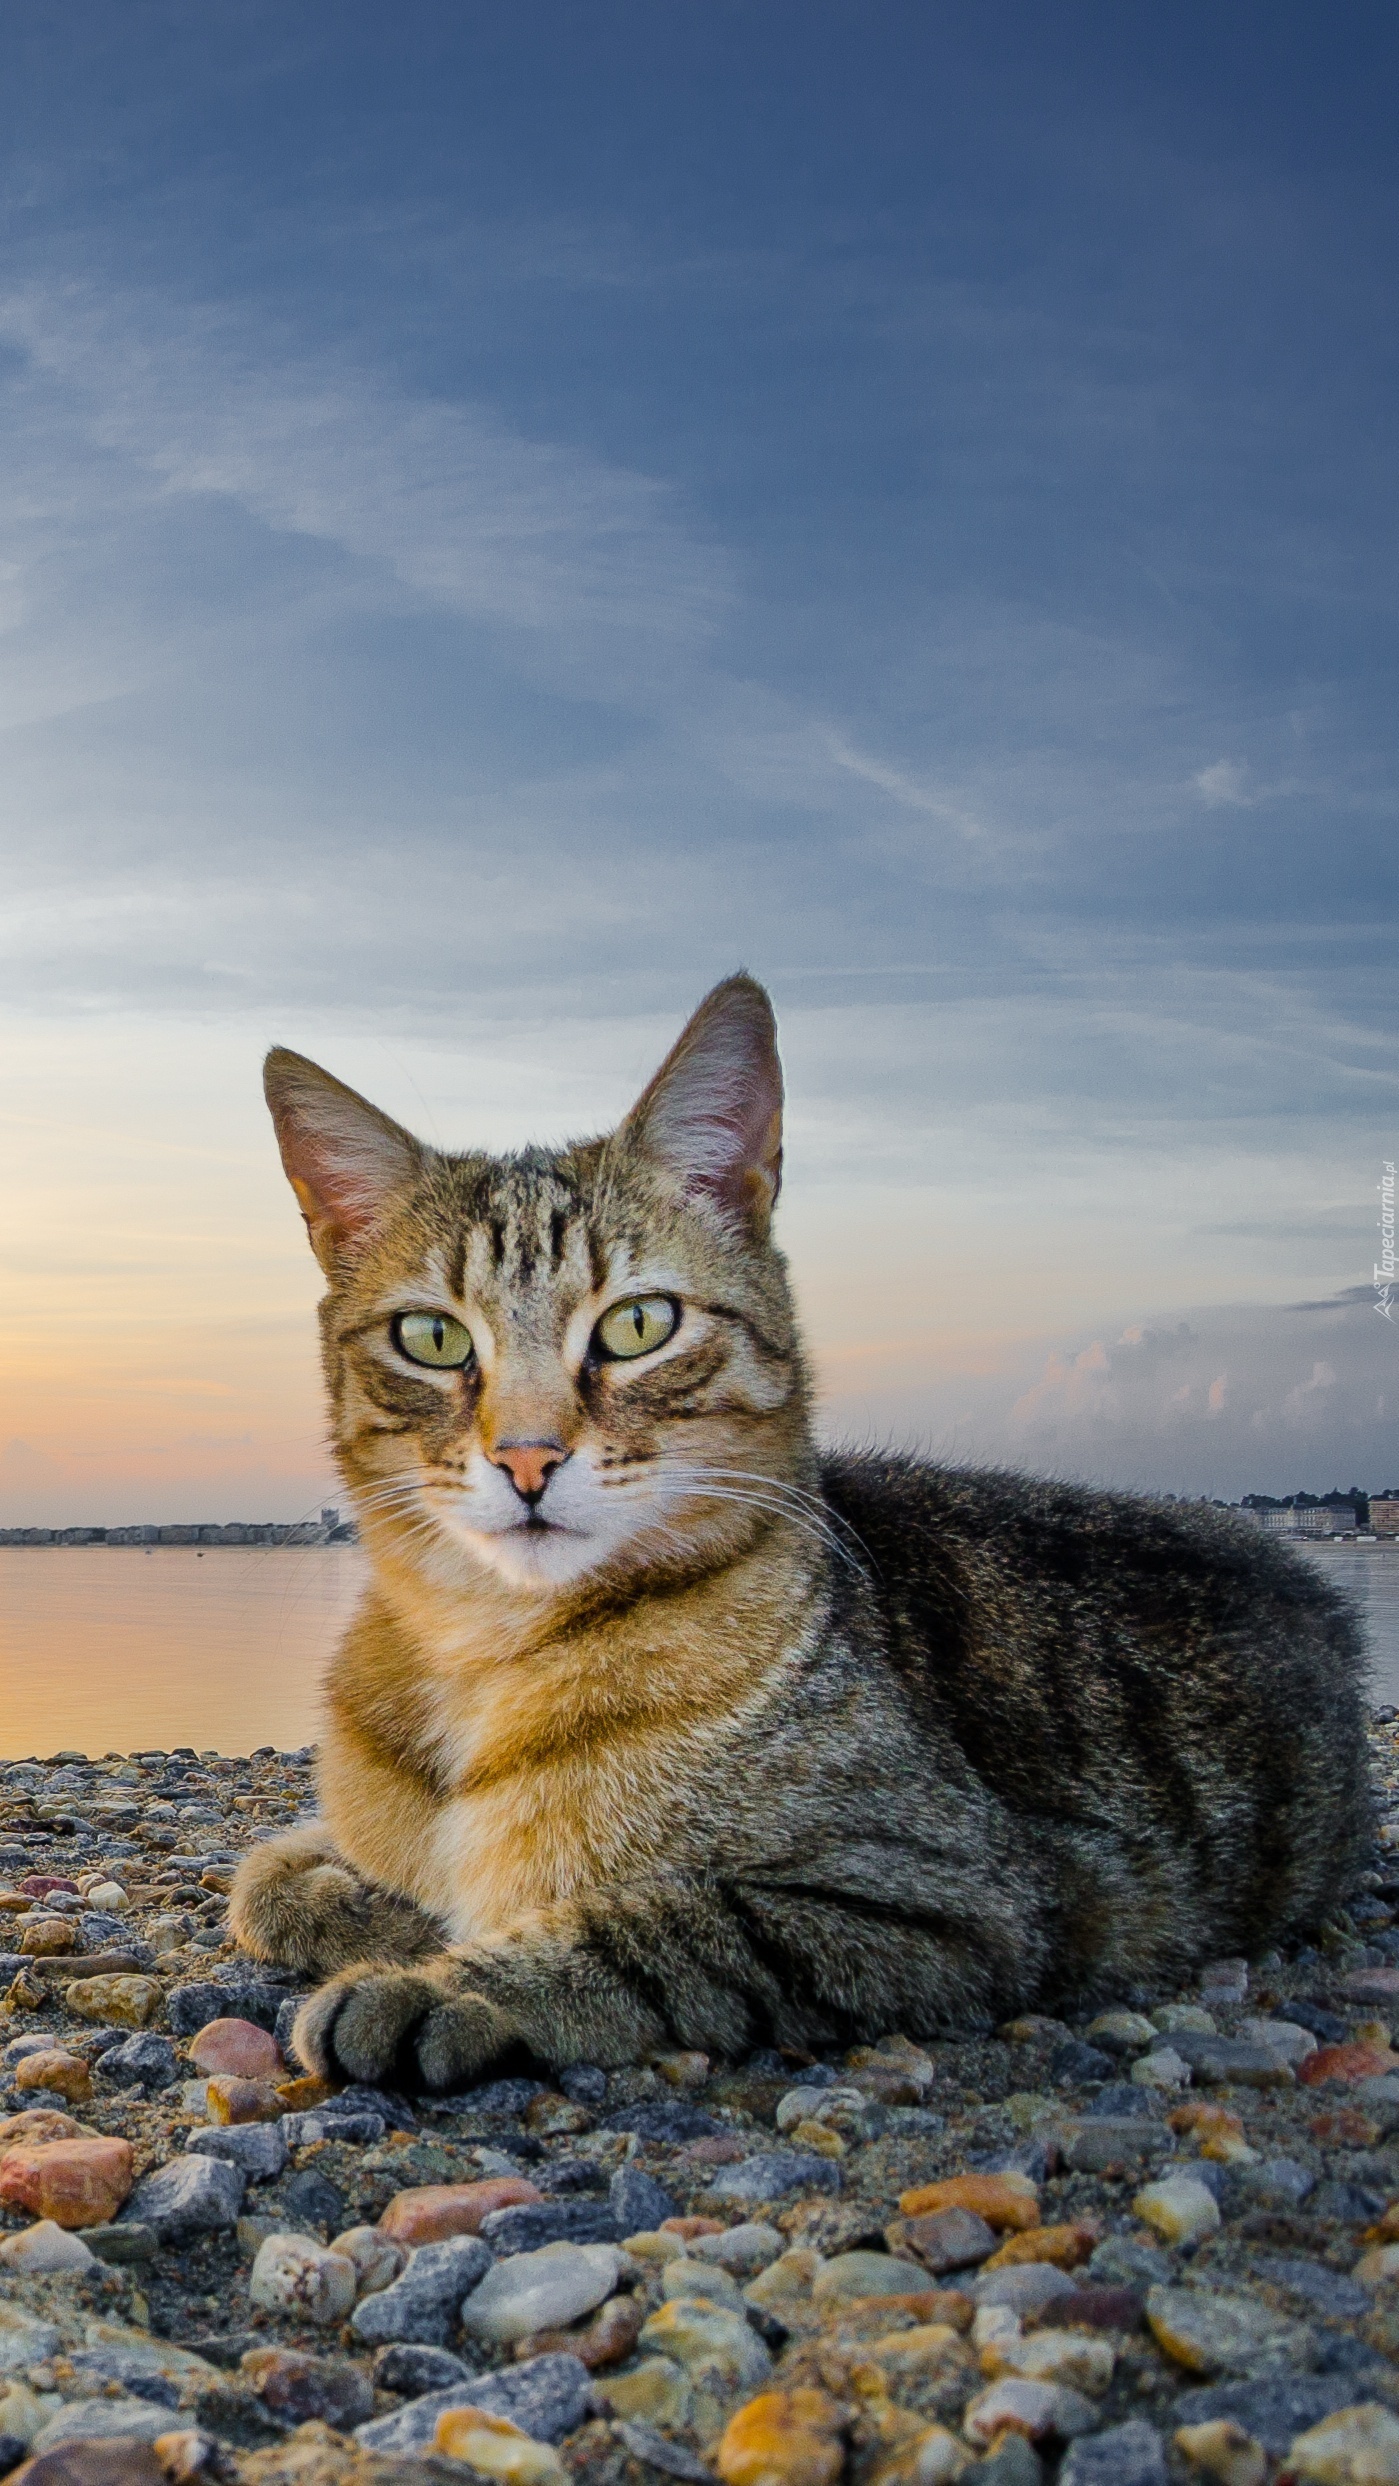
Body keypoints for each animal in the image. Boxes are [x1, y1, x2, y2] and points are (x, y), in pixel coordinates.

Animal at [229, 979, 1371, 2088]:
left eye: (637, 1324)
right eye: (431, 1338)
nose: (527, 1456)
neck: (480, 1648)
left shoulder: (950, 1899)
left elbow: (667, 1924)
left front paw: (447, 1985)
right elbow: (268, 1876)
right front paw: (382, 1909)